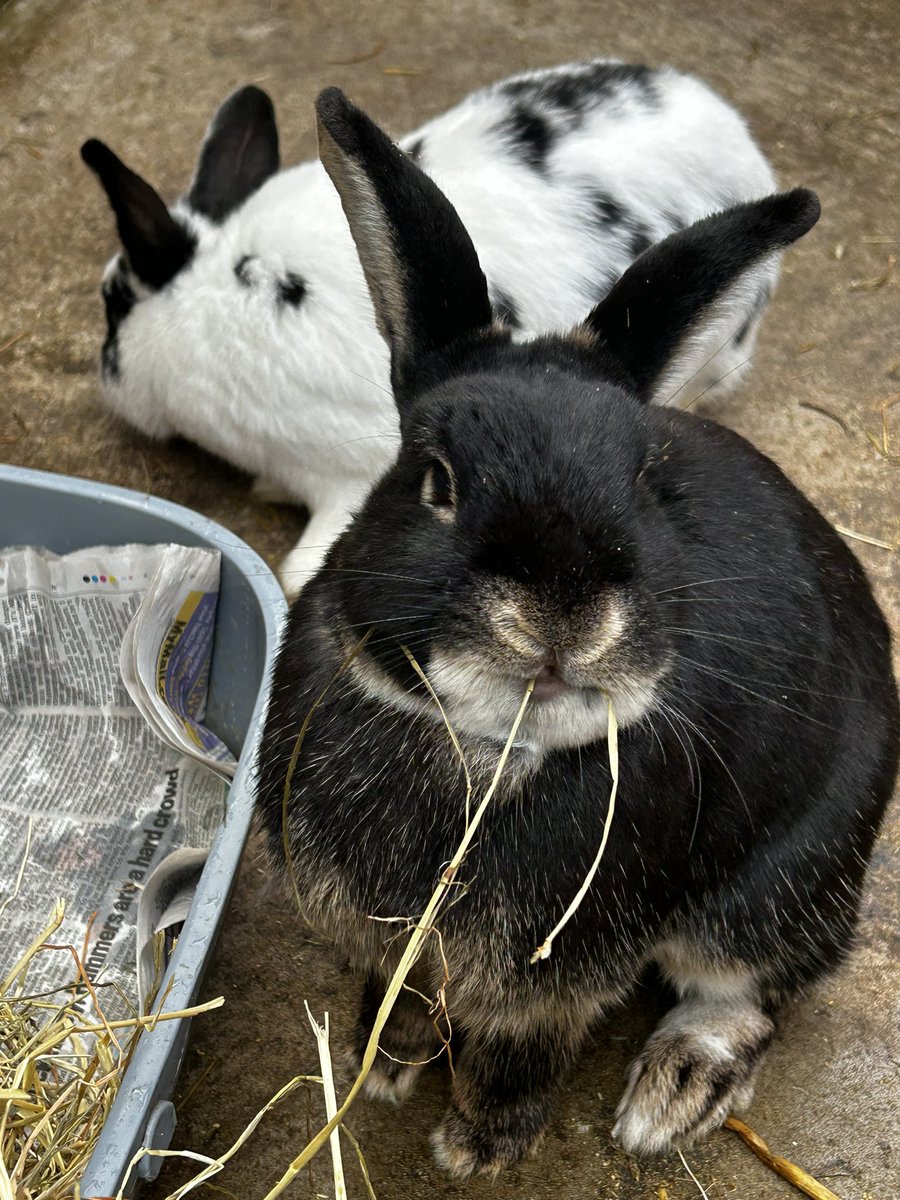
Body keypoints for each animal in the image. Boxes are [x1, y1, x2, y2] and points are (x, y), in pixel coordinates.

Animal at [255, 88, 900, 1176]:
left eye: (647, 478)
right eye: (434, 479)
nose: (564, 613)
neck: (487, 751)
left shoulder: (554, 978)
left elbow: (524, 1048)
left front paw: (477, 1144)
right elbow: (404, 990)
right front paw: (388, 1061)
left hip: (783, 883)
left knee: (753, 991)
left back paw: (669, 1098)